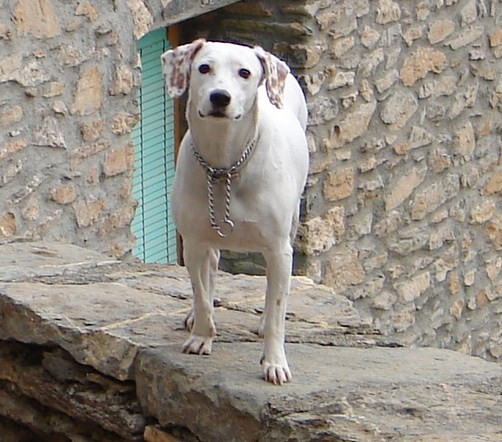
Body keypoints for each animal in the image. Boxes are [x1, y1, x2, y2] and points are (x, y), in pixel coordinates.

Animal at [163, 39, 308, 384]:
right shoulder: (193, 243)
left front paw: (274, 362)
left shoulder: (279, 250)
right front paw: (202, 335)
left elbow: (277, 308)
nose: (220, 96)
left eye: (245, 72)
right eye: (203, 67)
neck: (224, 166)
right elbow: (202, 294)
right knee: (211, 269)